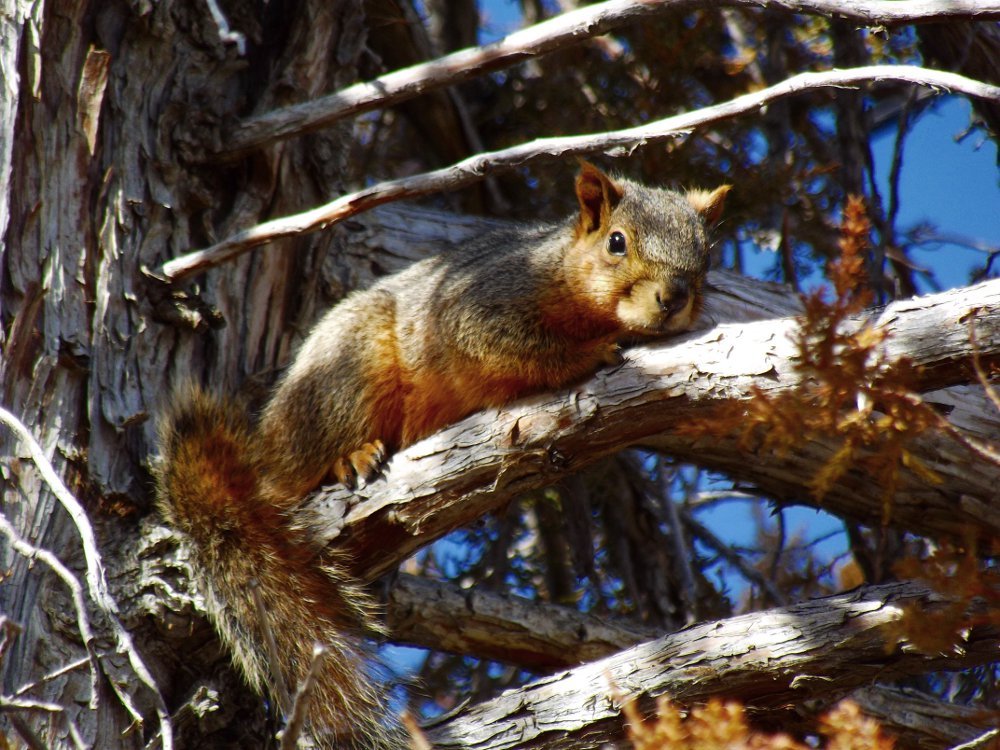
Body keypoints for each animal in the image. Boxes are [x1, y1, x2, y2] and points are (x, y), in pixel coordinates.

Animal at [158, 163, 736, 748]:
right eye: (616, 242)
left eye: (707, 252)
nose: (674, 297)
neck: (567, 277)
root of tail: (264, 447)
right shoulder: (479, 307)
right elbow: (521, 348)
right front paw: (591, 352)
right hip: (348, 374)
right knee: (296, 467)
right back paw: (348, 458)